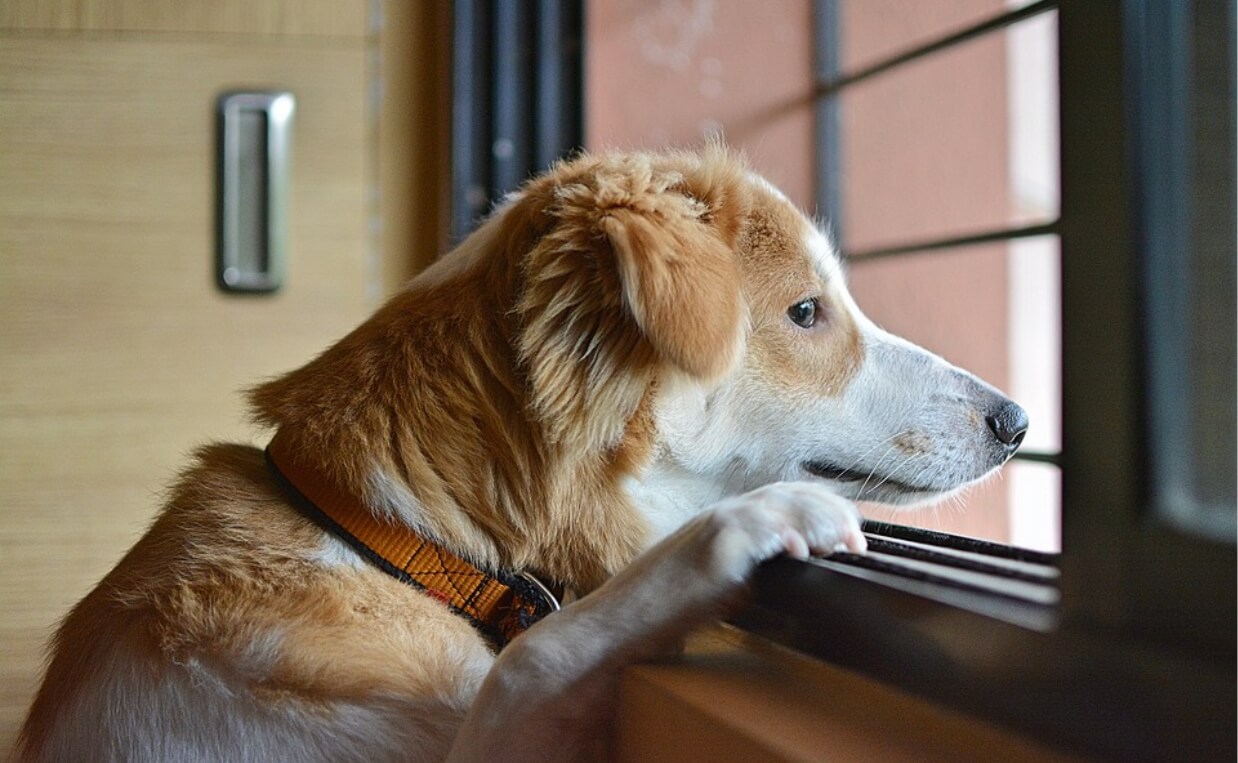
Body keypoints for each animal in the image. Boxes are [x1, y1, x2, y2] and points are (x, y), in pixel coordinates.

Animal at [16, 144, 1025, 763]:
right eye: (807, 311)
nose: (1015, 420)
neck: (398, 541)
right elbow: (536, 657)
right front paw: (742, 530)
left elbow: (529, 656)